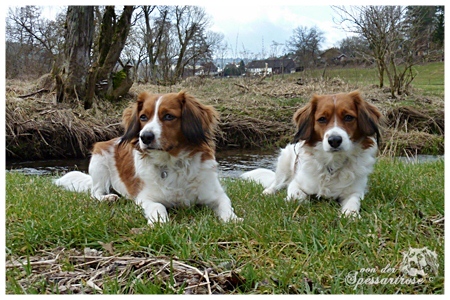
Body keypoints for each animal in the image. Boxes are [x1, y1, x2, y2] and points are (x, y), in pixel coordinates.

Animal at [54, 91, 241, 225]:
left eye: (168, 116)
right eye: (143, 117)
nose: (145, 137)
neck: (173, 164)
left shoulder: (216, 194)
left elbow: (226, 205)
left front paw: (232, 219)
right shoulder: (145, 198)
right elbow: (158, 206)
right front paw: (159, 222)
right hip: (99, 162)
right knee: (95, 192)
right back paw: (108, 197)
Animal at [241, 90, 382, 217]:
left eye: (348, 117)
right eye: (322, 119)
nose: (334, 140)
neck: (333, 163)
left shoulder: (355, 191)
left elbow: (353, 202)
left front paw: (350, 215)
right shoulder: (296, 183)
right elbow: (296, 196)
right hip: (284, 163)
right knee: (277, 183)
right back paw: (268, 192)